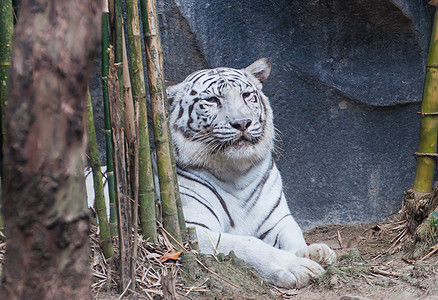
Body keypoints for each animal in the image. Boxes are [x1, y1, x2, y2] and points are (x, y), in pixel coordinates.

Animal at [167, 58, 336, 288]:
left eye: (246, 95)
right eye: (211, 100)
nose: (242, 123)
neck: (235, 172)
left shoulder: (276, 219)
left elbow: (293, 235)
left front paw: (314, 252)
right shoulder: (190, 229)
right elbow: (248, 243)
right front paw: (298, 266)